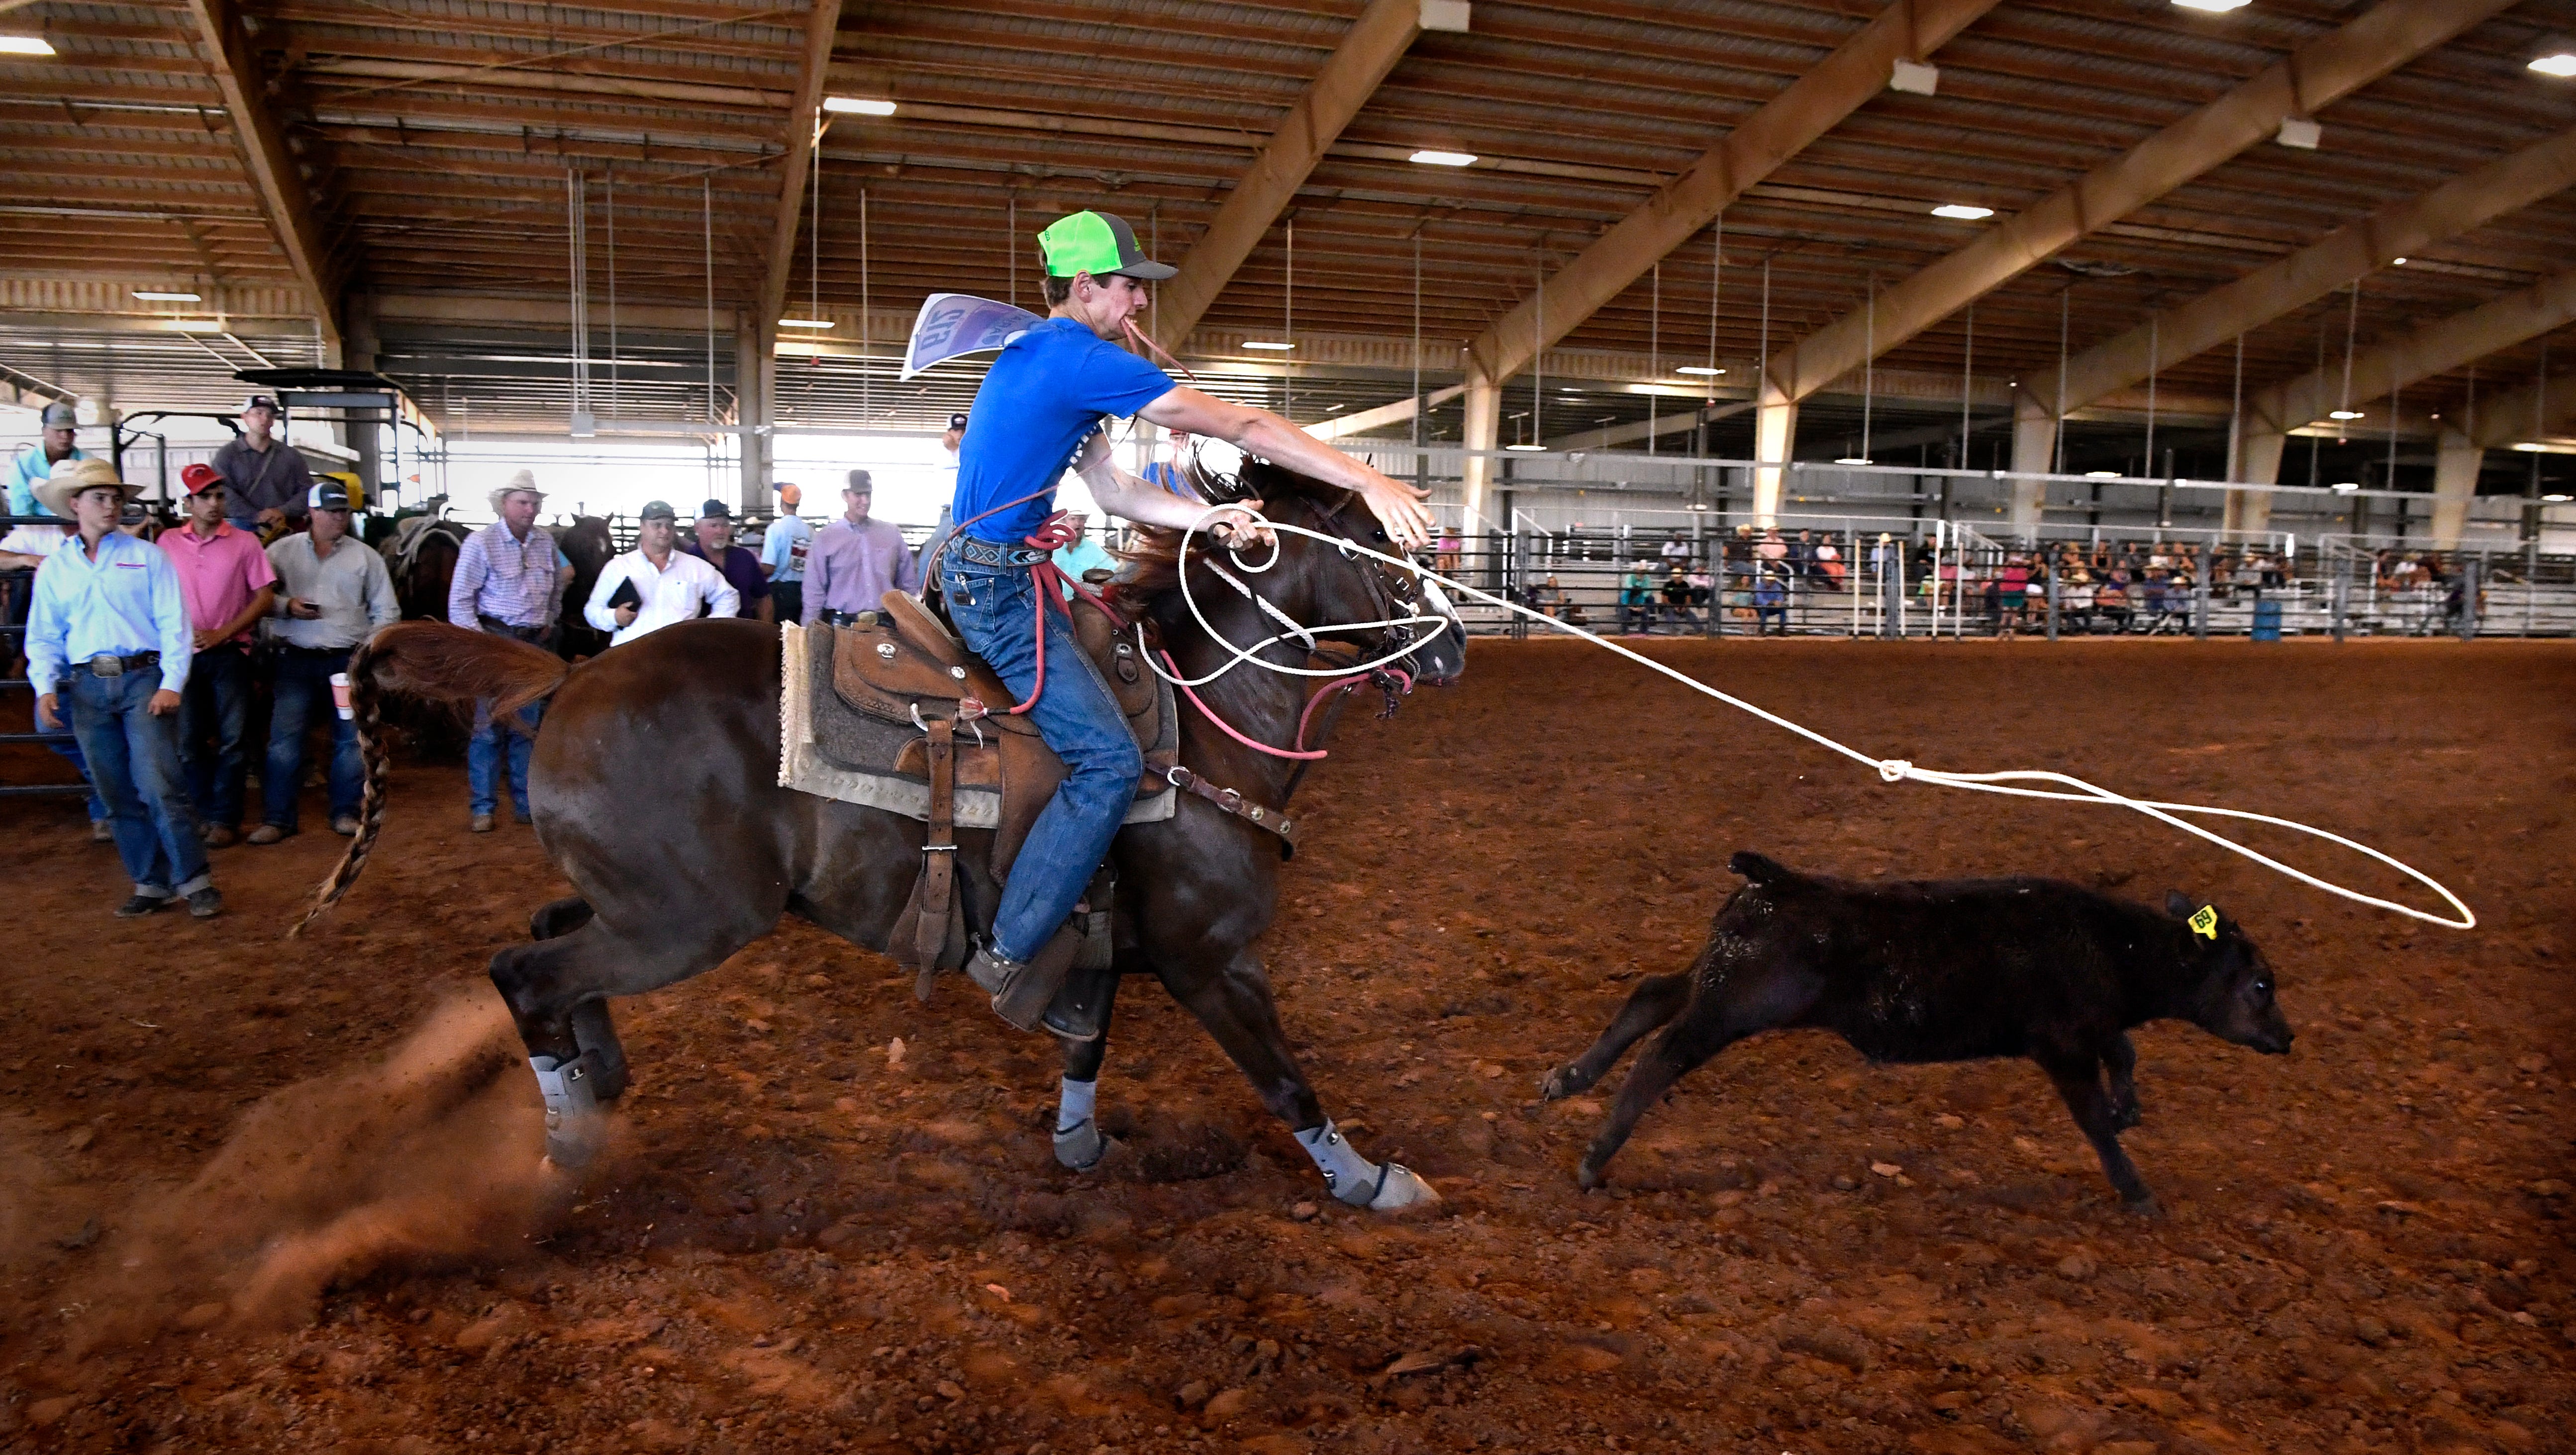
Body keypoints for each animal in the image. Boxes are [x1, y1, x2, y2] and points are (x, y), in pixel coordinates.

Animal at [296, 463, 1473, 1205]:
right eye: (1381, 556)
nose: (1455, 647)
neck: (1199, 724)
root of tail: (571, 675)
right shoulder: (1212, 959)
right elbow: (1284, 1076)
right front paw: (1372, 1180)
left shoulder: (1103, 943)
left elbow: (1086, 1042)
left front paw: (1080, 1141)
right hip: (687, 920)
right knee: (526, 973)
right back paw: (568, 1141)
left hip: (643, 903)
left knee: (549, 936)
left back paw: (600, 1087)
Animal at [1535, 845, 2308, 1210]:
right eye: (2261, 985)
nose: (2288, 1038)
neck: (2110, 945)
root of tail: (1774, 880)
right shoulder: (2060, 1044)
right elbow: (2092, 1115)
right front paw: (2136, 1189)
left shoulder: (2087, 1030)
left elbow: (2123, 1051)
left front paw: (2130, 1108)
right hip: (1736, 1005)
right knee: (1662, 1053)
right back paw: (1596, 1156)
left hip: (1720, 980)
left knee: (1651, 996)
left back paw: (1568, 1078)